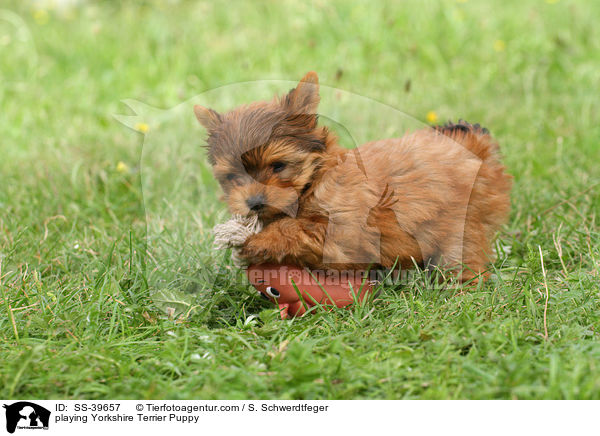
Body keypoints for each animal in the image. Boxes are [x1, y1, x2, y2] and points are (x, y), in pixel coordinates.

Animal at [196, 71, 510, 282]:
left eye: (278, 166)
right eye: (232, 176)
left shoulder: (344, 231)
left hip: (462, 222)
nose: (254, 203)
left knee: (463, 255)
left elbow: (297, 229)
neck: (315, 179)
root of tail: (475, 148)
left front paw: (257, 242)